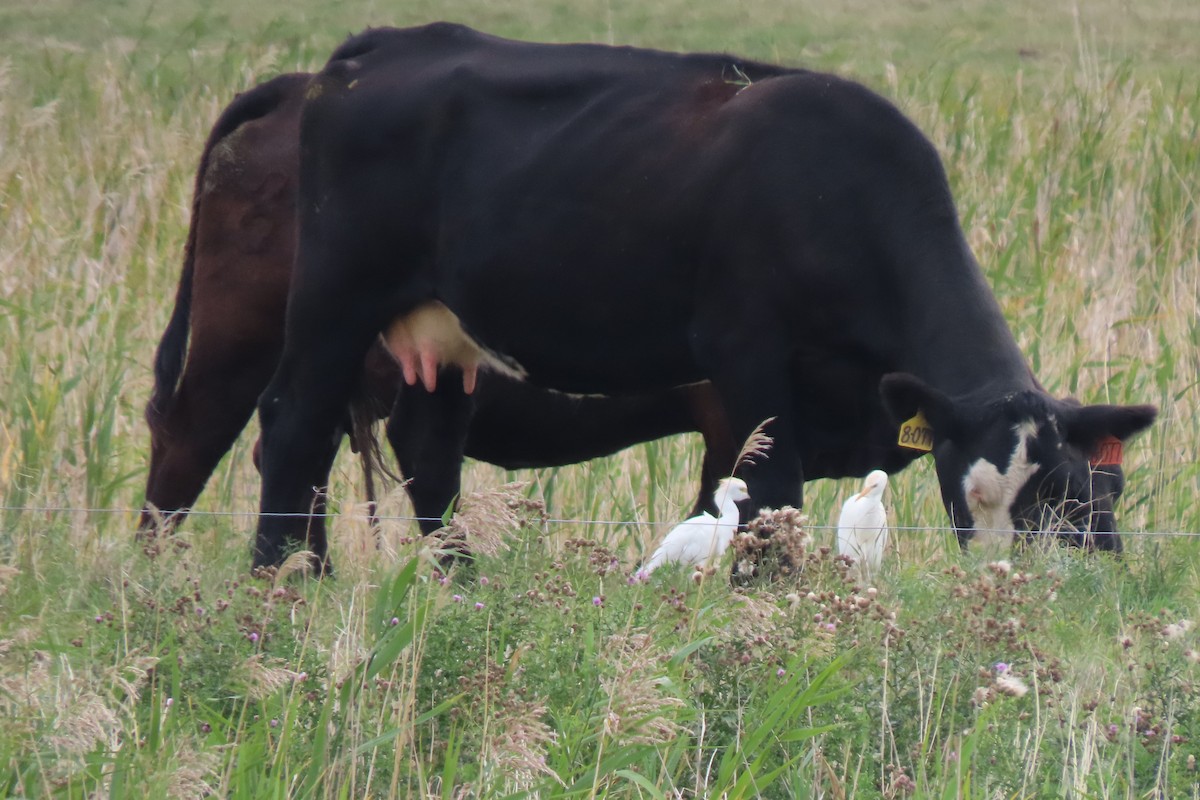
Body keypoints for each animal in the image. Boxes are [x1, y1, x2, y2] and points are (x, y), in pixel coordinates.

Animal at [250, 23, 1152, 568]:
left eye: (1070, 499)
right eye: (973, 499)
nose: (1005, 584)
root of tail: (381, 47)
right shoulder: (744, 351)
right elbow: (772, 499)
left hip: (448, 332)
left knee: (430, 453)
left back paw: (463, 590)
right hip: (336, 296)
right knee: (292, 429)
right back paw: (279, 583)